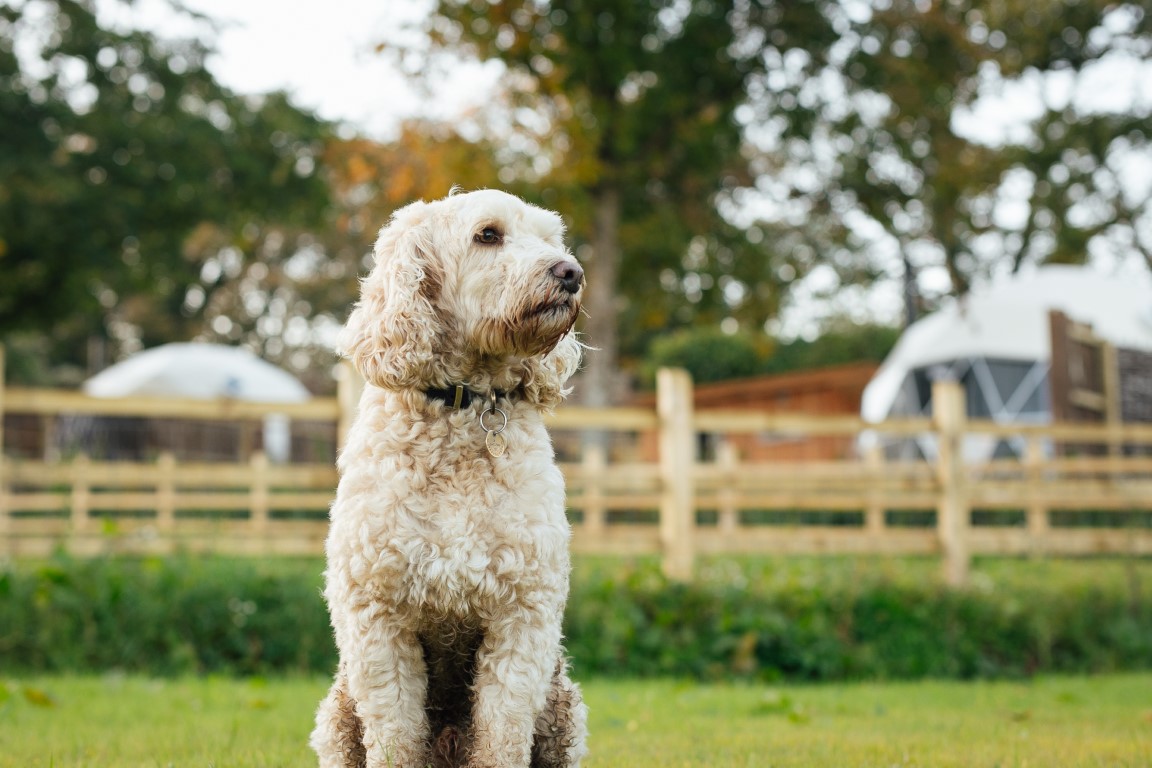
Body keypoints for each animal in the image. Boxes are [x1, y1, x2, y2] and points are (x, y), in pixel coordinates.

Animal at [311, 187, 589, 768]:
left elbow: (502, 734)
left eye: (550, 237)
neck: (466, 406)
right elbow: (395, 739)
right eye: (488, 234)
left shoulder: (521, 620)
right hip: (338, 716)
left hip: (562, 709)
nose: (571, 272)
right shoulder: (380, 625)